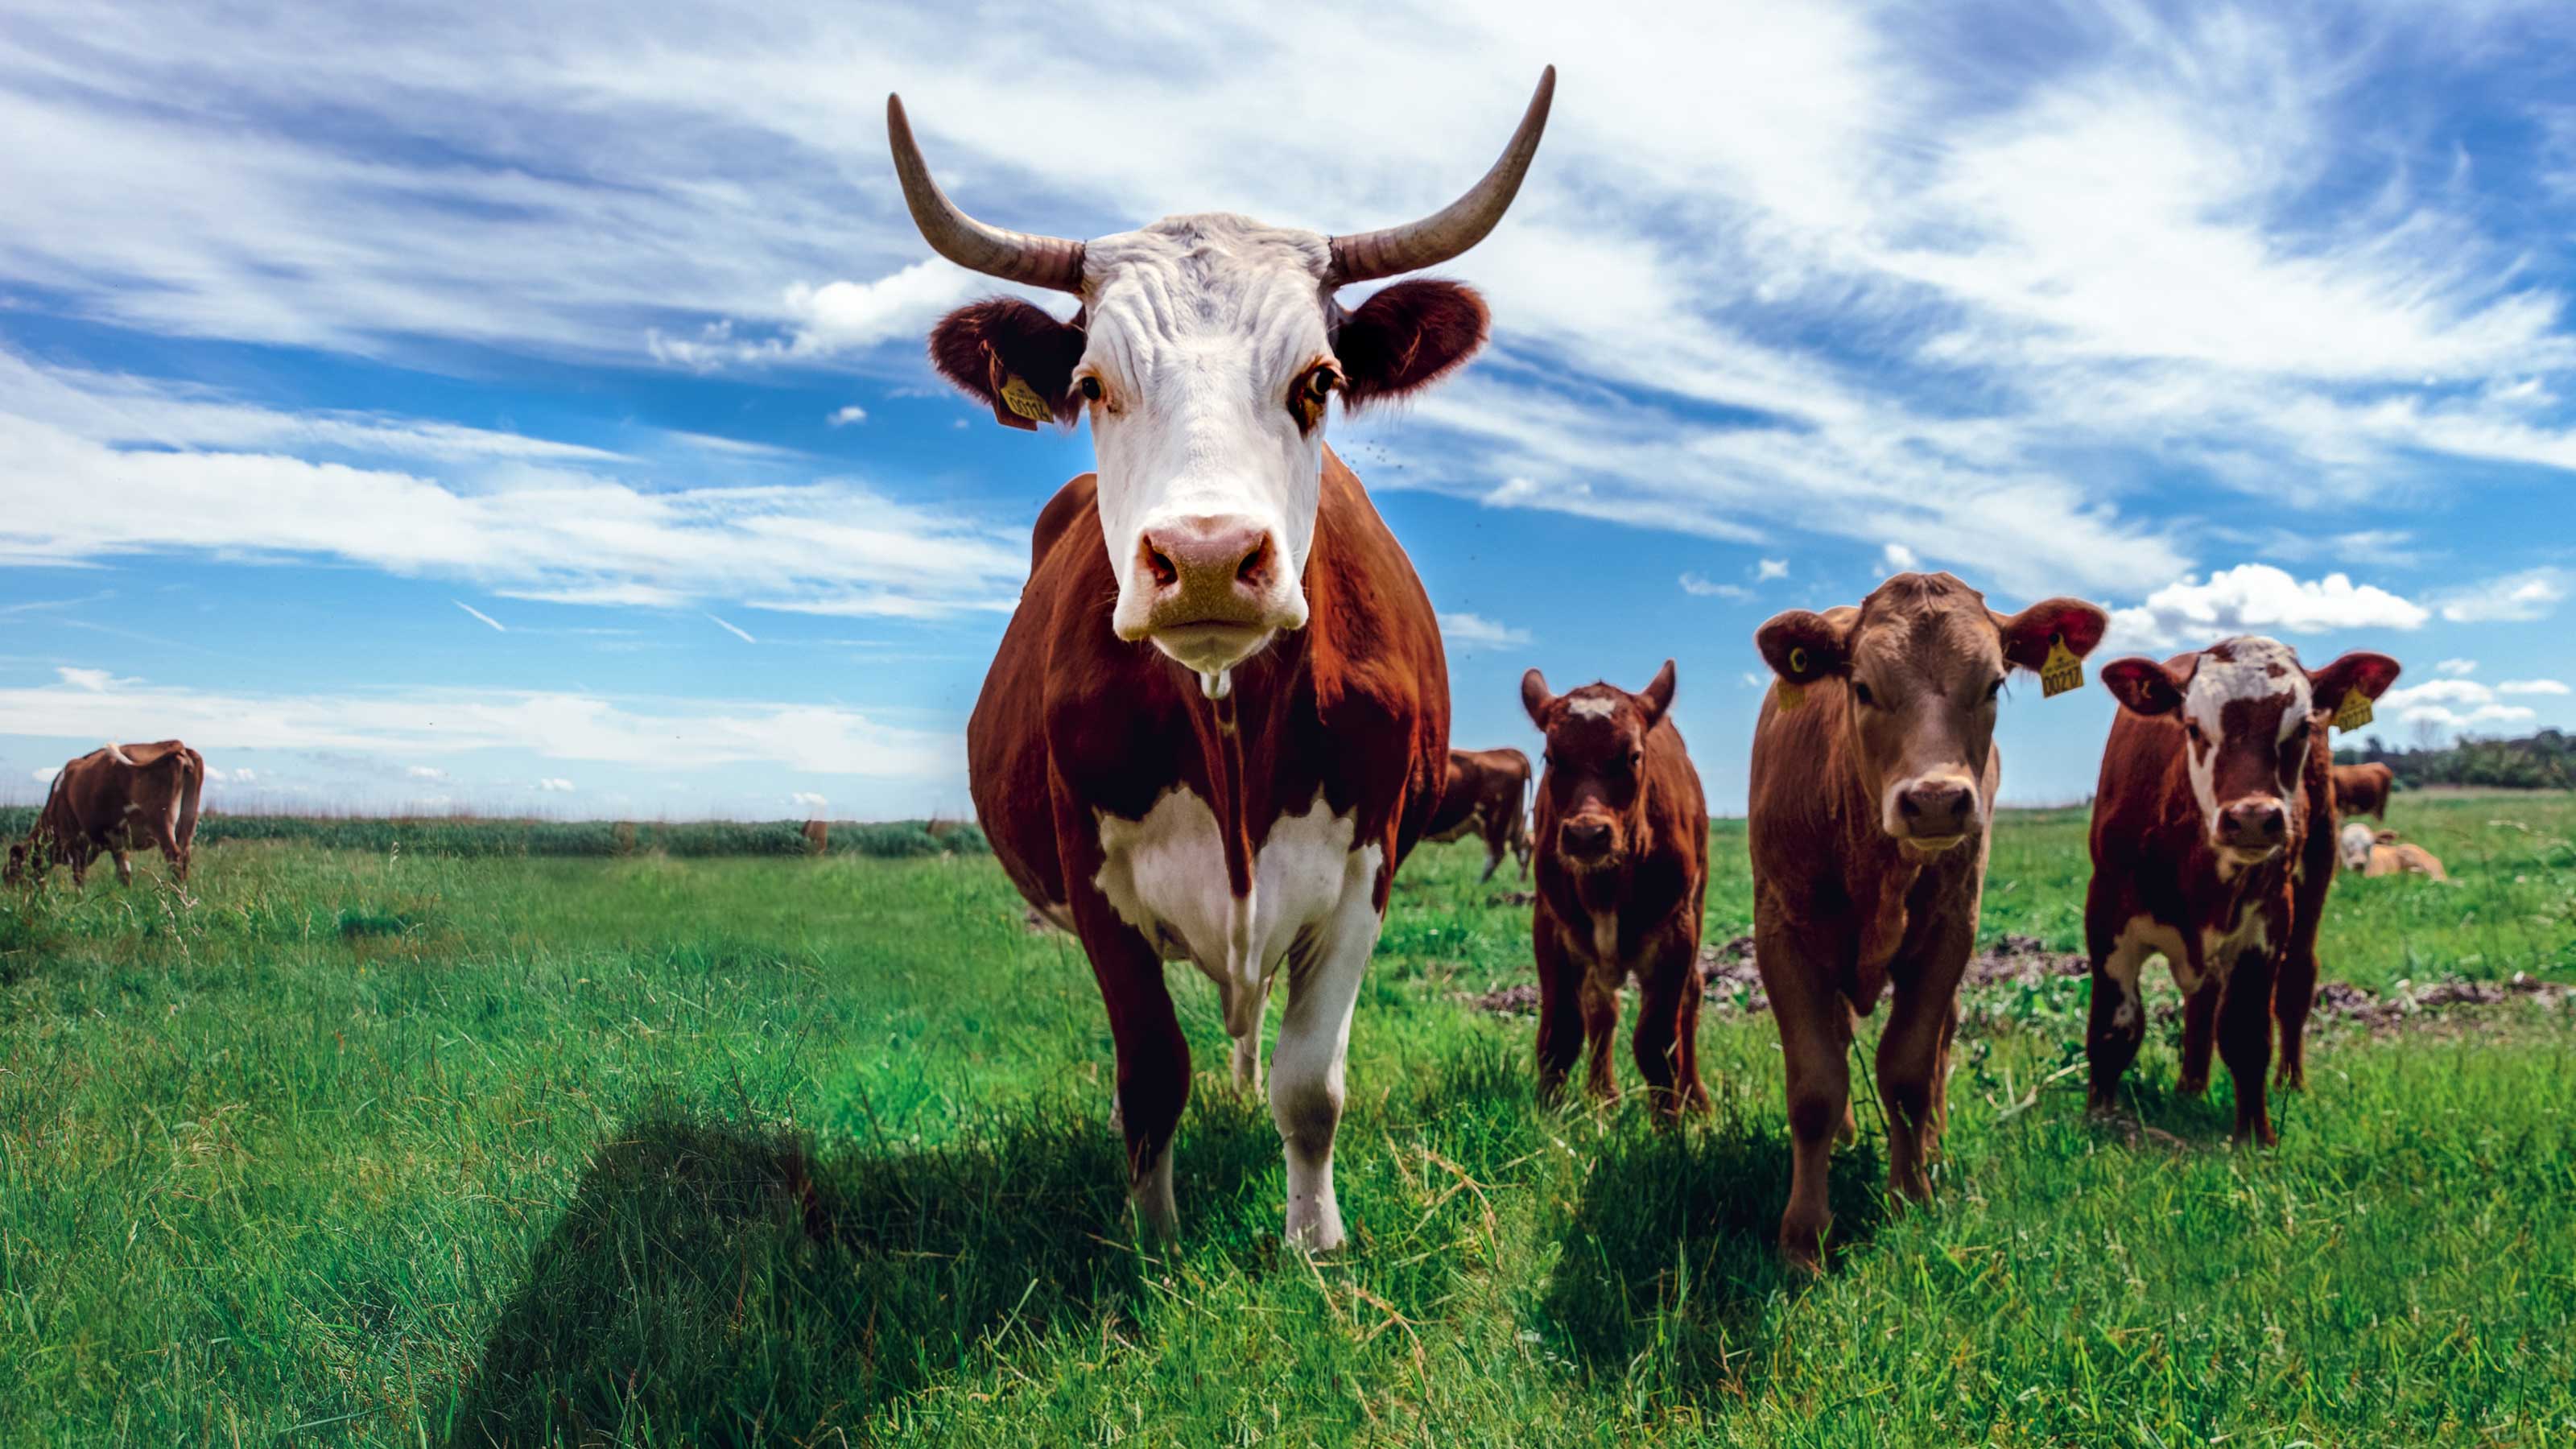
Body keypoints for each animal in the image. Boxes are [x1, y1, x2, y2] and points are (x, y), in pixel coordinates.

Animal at [6, 741, 205, 889]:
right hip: (188, 822)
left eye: (12, 869)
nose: (9, 895)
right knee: (185, 857)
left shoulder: (77, 841)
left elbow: (79, 879)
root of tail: (177, 746)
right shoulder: (118, 844)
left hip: (161, 824)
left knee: (175, 858)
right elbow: (125, 875)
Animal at [1423, 746, 1532, 881]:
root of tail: (1511, 751)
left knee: (1497, 853)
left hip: (1495, 818)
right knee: (1523, 845)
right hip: (1511, 819)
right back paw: (1520, 881)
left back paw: (1477, 883)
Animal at [1521, 663, 1709, 1119]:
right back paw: (1601, 1095)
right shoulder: (1550, 927)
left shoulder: (1676, 932)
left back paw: (1695, 1099)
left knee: (1692, 995)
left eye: (1633, 756)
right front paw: (1549, 1118)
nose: (1587, 835)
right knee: (1601, 1008)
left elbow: (1658, 1044)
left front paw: (1668, 1127)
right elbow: (1560, 1034)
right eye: (1552, 757)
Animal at [1749, 573, 2109, 1264]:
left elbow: (1910, 1071)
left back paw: (1933, 1146)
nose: (1937, 801)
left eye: (1993, 684)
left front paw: (1911, 1196)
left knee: (1942, 1042)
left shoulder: (1950, 932)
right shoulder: (1782, 933)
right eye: (1862, 686)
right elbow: (1814, 1086)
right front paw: (1804, 1237)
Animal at [2087, 637, 2401, 1141]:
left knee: (2295, 982)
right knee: (2202, 1001)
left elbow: (2247, 1034)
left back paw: (2290, 1081)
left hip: (2317, 867)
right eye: (2194, 727)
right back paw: (2189, 1087)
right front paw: (2099, 1120)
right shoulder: (2107, 911)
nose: (2252, 817)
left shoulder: (2266, 922)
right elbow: (2115, 1028)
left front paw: (2255, 1136)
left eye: (2302, 727)